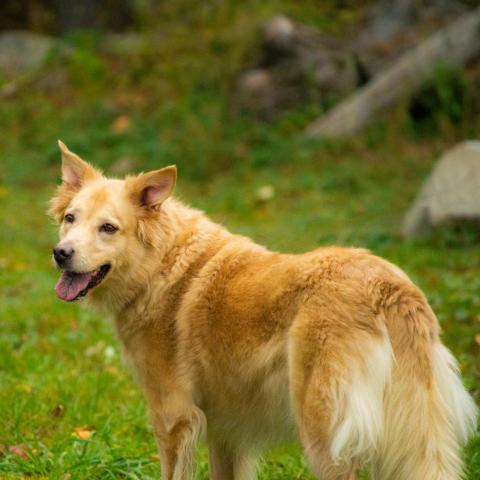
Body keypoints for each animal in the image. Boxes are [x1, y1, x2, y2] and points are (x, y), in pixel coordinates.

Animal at [48, 141, 476, 478]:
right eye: (70, 219)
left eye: (108, 228)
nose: (60, 253)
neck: (162, 265)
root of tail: (387, 287)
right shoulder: (226, 430)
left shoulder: (173, 418)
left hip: (324, 435)